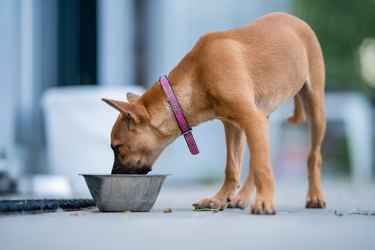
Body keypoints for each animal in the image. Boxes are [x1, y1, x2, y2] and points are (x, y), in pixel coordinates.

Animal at [102, 12, 326, 215]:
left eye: (116, 147)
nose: (114, 174)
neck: (197, 75)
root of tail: (294, 19)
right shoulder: (234, 126)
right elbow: (233, 168)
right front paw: (219, 199)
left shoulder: (250, 120)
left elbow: (263, 167)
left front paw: (264, 202)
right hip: (260, 120)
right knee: (254, 161)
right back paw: (242, 197)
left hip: (314, 107)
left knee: (313, 156)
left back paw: (314, 196)